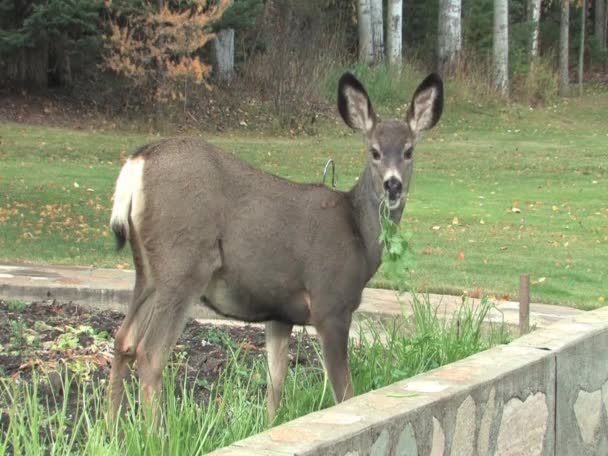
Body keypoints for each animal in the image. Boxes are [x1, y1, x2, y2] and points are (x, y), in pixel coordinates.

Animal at [108, 69, 442, 422]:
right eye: (374, 151)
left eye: (409, 151)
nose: (393, 185)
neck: (359, 236)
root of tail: (138, 162)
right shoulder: (330, 303)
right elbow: (344, 394)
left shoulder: (280, 312)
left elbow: (275, 384)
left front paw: (267, 422)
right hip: (184, 263)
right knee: (150, 353)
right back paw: (153, 430)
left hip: (147, 270)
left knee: (124, 339)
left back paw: (112, 428)